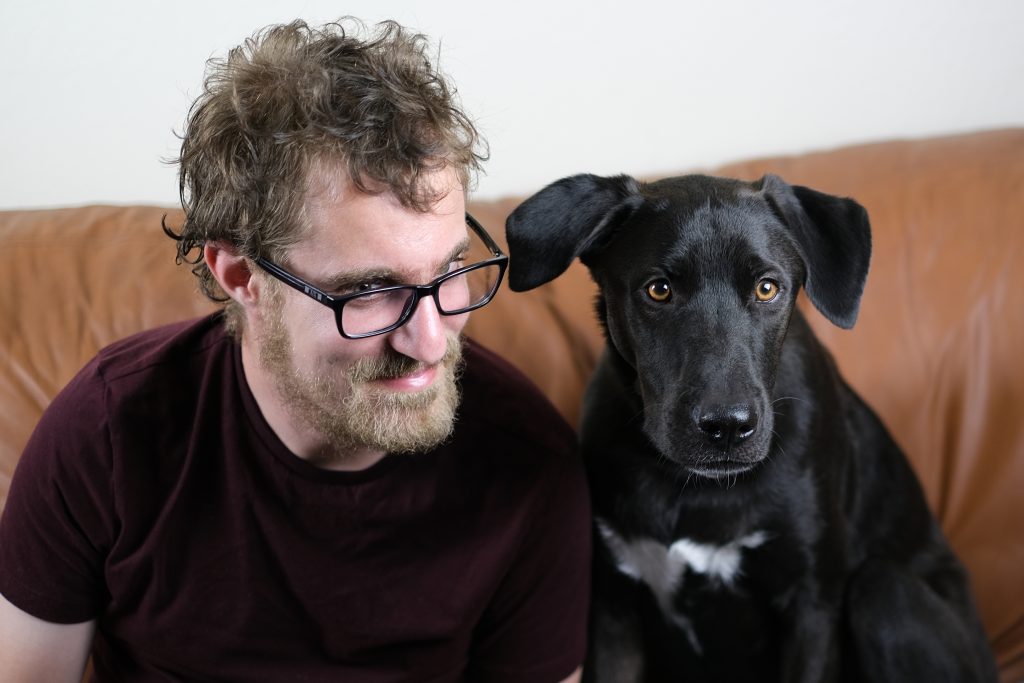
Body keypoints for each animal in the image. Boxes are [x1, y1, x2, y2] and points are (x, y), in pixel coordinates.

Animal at [507, 174, 995, 679]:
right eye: (658, 289)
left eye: (766, 288)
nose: (726, 427)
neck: (696, 489)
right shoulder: (613, 609)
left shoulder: (812, 606)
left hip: (885, 593)